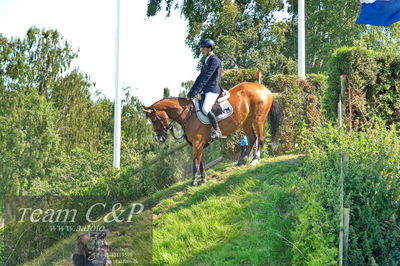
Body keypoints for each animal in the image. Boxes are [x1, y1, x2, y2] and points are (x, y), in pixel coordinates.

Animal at [143, 82, 282, 186]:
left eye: (154, 120)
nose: (160, 138)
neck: (187, 113)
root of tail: (265, 89)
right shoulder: (199, 144)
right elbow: (202, 163)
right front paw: (203, 179)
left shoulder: (197, 142)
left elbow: (195, 163)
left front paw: (193, 182)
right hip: (246, 122)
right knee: (252, 138)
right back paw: (242, 160)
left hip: (258, 119)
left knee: (261, 138)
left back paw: (255, 160)